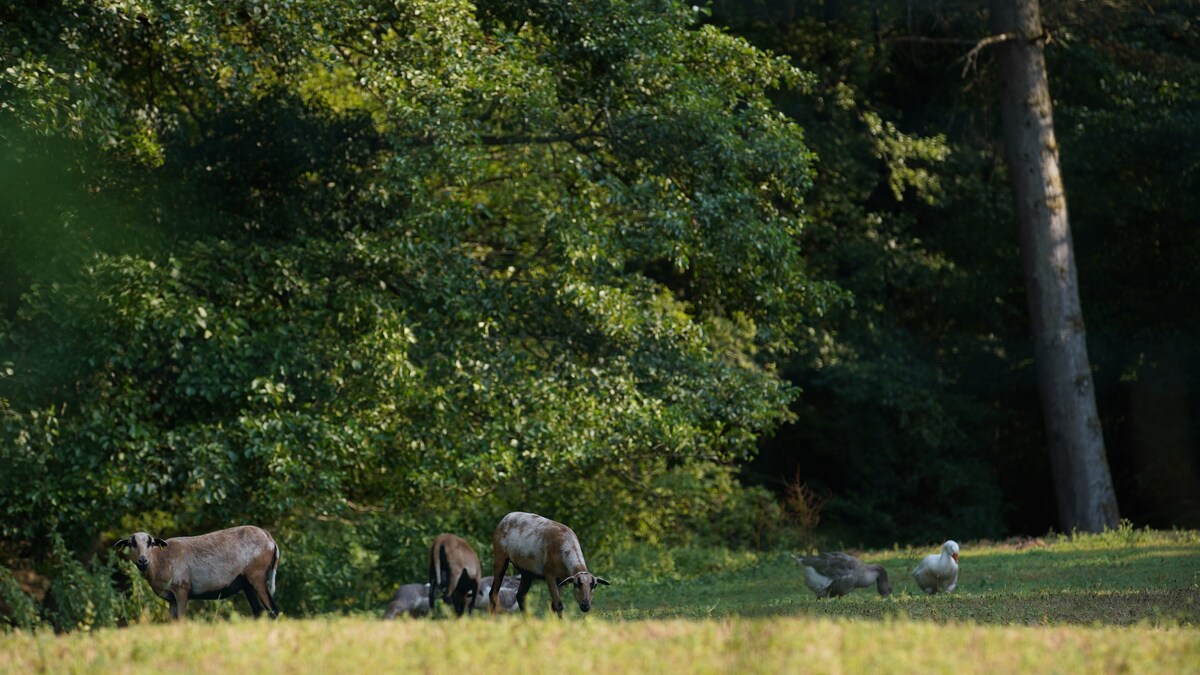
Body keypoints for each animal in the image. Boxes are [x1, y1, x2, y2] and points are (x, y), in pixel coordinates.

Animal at [113, 523, 279, 619]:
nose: (143, 560)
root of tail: (270, 538)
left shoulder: (182, 590)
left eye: (151, 543)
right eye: (131, 543)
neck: (160, 562)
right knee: (259, 612)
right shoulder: (171, 598)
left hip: (257, 576)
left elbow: (182, 619)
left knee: (273, 610)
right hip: (247, 583)